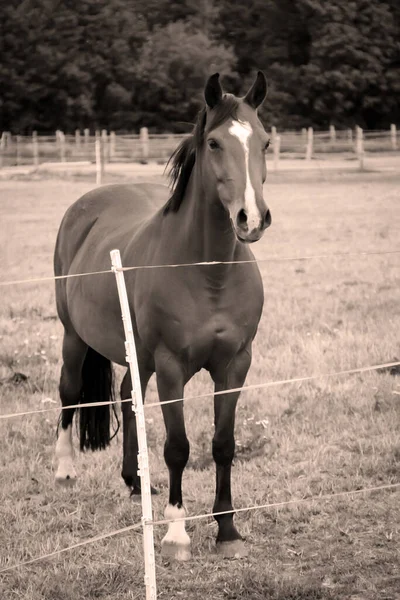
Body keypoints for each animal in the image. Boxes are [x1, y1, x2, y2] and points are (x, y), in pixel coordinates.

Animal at [54, 71, 272, 564]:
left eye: (265, 142)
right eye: (214, 143)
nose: (251, 219)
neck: (207, 273)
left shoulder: (235, 365)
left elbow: (223, 445)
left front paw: (227, 530)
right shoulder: (173, 367)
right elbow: (178, 448)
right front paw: (176, 534)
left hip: (139, 355)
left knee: (127, 397)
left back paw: (135, 483)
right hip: (74, 337)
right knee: (69, 394)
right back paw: (64, 470)